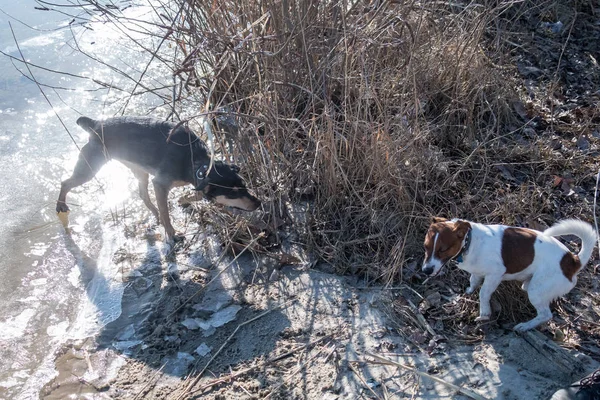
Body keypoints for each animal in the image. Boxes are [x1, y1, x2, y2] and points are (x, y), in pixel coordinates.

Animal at [56, 115, 260, 241]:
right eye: (232, 193)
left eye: (244, 184)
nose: (258, 203)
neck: (197, 163)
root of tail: (96, 123)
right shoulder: (160, 183)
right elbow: (167, 212)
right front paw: (172, 234)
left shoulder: (195, 182)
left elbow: (196, 194)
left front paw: (183, 199)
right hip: (89, 168)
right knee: (65, 182)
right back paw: (60, 206)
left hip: (139, 170)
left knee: (142, 194)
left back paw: (154, 214)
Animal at [422, 219, 596, 332]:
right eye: (426, 247)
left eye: (443, 249)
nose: (426, 271)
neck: (469, 242)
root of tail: (573, 261)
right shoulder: (477, 272)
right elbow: (473, 281)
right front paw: (469, 292)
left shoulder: (495, 275)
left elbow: (483, 293)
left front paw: (484, 313)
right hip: (530, 285)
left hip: (536, 290)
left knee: (545, 315)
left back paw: (525, 326)